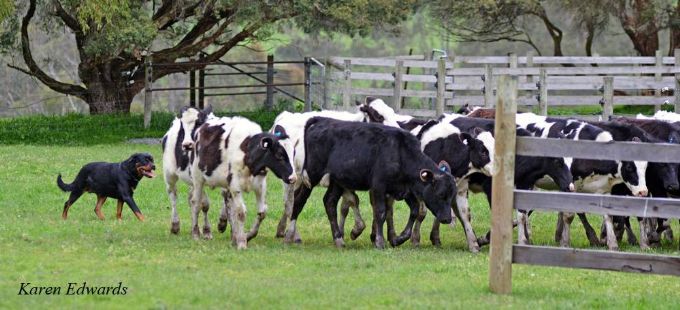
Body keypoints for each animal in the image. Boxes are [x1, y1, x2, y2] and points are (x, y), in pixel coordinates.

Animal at [162, 105, 212, 234]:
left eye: (199, 122)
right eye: (182, 127)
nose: (187, 145)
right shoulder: (198, 179)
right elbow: (204, 203)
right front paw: (206, 230)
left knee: (190, 200)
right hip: (169, 174)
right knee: (173, 195)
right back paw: (175, 224)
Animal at [191, 116, 298, 249]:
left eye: (293, 153)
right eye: (279, 155)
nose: (293, 178)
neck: (248, 151)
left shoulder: (260, 186)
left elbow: (262, 212)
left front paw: (248, 236)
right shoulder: (235, 185)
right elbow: (241, 212)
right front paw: (242, 242)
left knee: (229, 206)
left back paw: (233, 236)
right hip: (198, 178)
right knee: (196, 203)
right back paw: (195, 233)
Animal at [288, 117, 456, 248]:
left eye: (451, 196)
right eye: (440, 194)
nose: (447, 218)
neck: (401, 153)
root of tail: (322, 120)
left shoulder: (404, 189)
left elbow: (414, 210)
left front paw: (399, 238)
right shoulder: (378, 187)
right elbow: (380, 212)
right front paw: (380, 241)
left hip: (336, 180)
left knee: (329, 202)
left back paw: (339, 239)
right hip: (312, 174)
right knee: (299, 200)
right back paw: (290, 235)